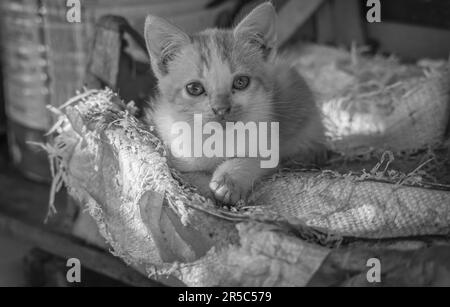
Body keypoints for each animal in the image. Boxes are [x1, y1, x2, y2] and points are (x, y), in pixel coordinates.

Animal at [143, 2, 324, 206]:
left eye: (241, 82)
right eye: (194, 88)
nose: (221, 109)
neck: (218, 139)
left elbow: (256, 159)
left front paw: (228, 181)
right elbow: (190, 175)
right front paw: (206, 188)